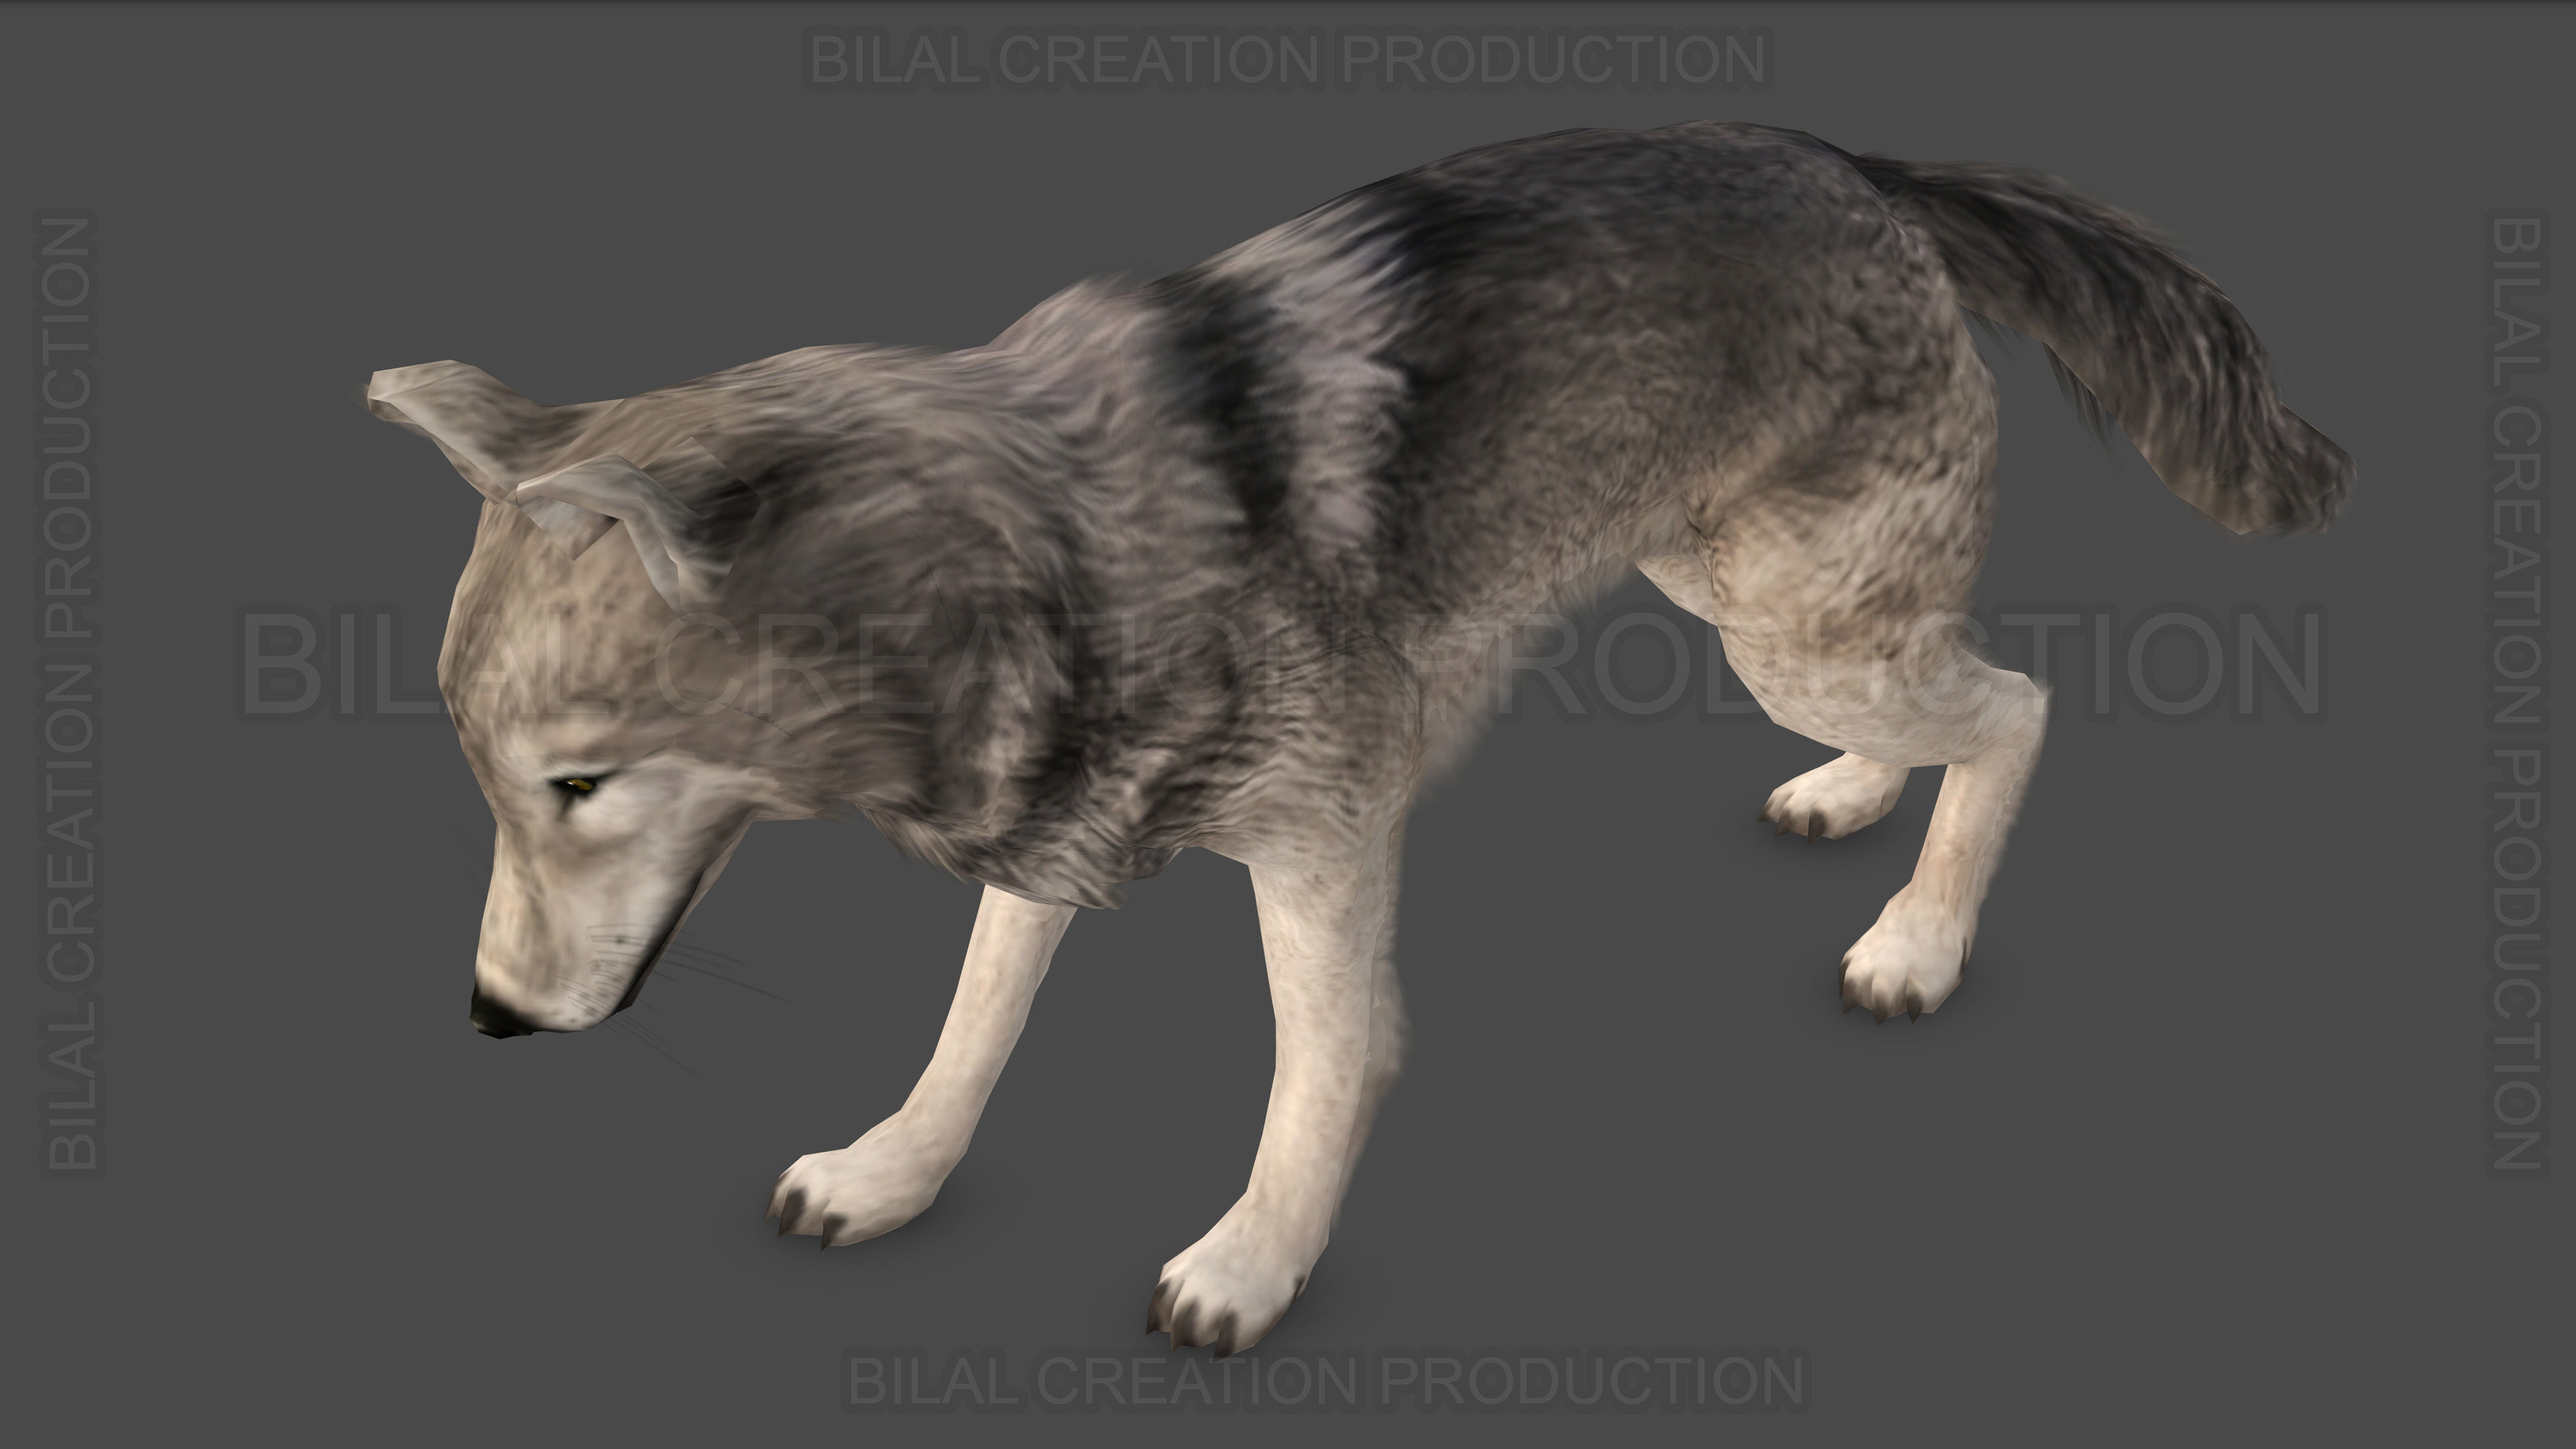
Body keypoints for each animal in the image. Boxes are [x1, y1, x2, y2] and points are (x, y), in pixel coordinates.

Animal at [365, 122, 2347, 1355]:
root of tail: (1859, 164)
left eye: (576, 789)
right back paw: (1850, 805)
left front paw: (1250, 1265)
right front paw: (889, 1172)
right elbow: (970, 1026)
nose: (487, 1021)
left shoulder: (1326, 836)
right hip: (1745, 603)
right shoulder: (1064, 816)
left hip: (1791, 628)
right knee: (1937, 703)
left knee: (2021, 705)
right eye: (496, 792)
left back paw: (1917, 944)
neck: (1029, 563)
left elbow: (1326, 1064)